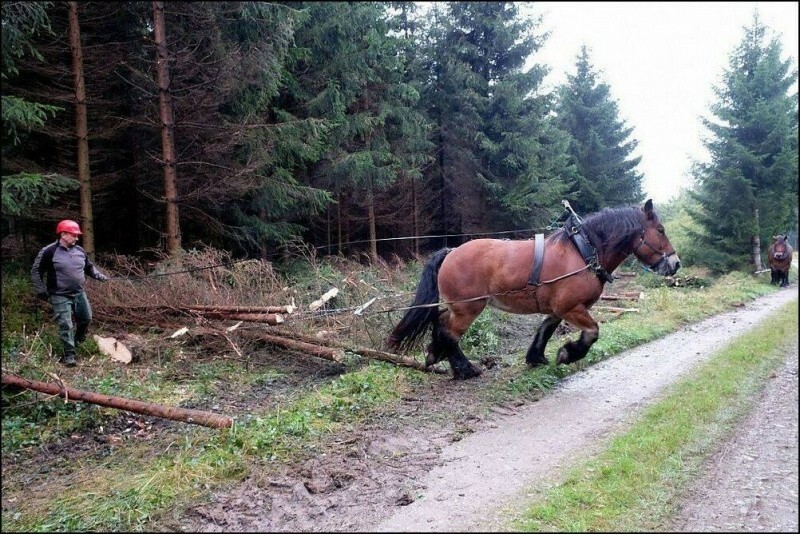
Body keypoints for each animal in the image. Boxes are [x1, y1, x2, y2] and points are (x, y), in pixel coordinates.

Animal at [388, 200, 680, 382]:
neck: (583, 251)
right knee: (449, 332)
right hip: (468, 308)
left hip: (459, 308)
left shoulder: (559, 309)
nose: (676, 263)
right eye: (661, 230)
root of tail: (451, 252)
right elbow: (592, 332)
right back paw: (464, 368)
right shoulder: (571, 308)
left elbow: (545, 329)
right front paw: (568, 353)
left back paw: (438, 356)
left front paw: (536, 358)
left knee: (440, 324)